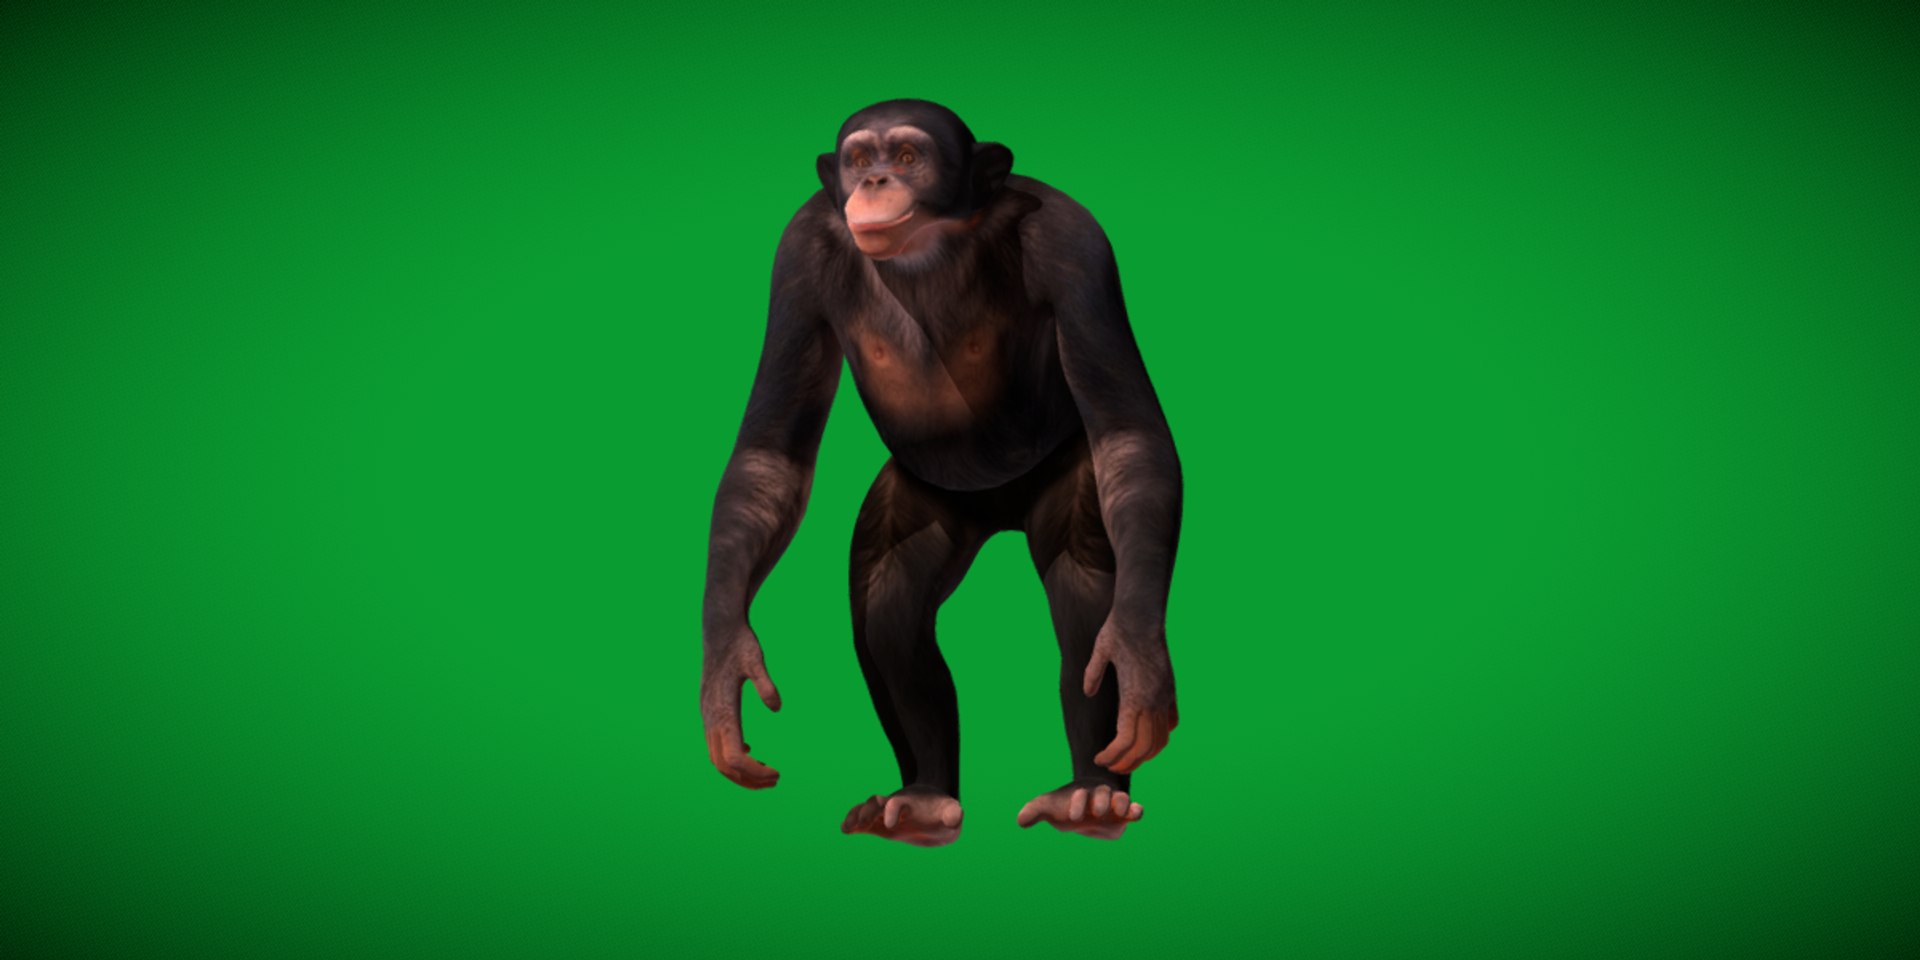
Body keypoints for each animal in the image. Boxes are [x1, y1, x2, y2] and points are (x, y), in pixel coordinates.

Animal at [699, 99, 1180, 845]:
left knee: (1083, 571)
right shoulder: (798, 252)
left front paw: (1138, 659)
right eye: (858, 160)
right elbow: (770, 456)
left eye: (906, 158)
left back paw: (1090, 797)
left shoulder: (1073, 242)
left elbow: (1129, 434)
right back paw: (924, 797)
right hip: (924, 497)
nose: (873, 184)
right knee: (890, 596)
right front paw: (728, 667)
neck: (936, 245)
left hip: (1064, 476)